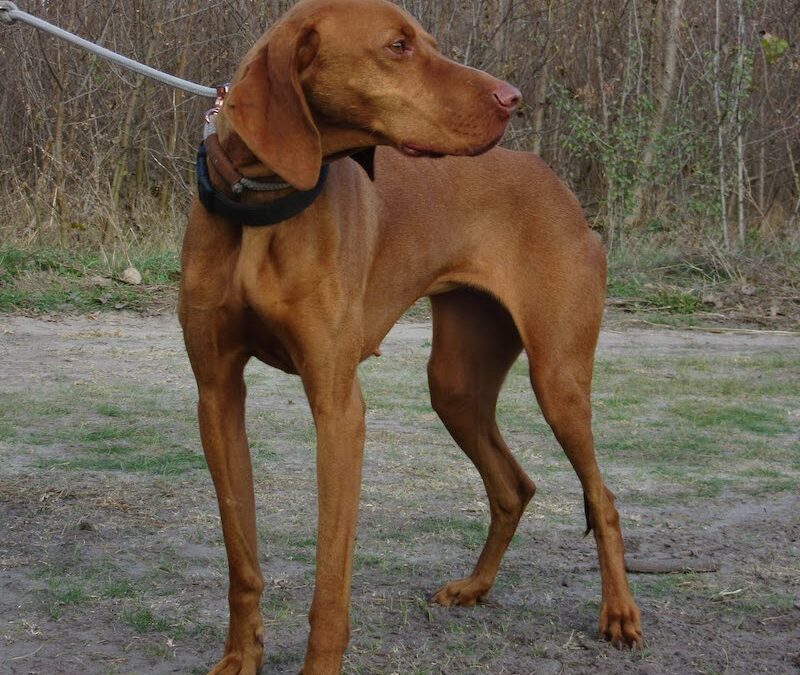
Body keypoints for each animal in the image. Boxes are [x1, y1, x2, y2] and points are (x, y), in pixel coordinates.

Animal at [179, 0, 643, 672]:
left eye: (427, 41)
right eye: (398, 46)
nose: (513, 98)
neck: (264, 202)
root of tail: (557, 185)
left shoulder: (338, 408)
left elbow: (330, 584)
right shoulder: (216, 396)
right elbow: (242, 558)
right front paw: (242, 656)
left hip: (557, 380)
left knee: (600, 497)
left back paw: (620, 615)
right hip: (454, 385)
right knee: (513, 487)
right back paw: (475, 587)